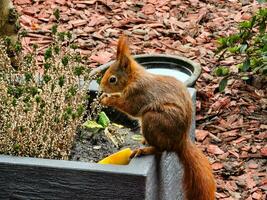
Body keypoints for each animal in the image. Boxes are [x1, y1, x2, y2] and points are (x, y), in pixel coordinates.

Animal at [99, 36, 217, 200]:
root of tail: (179, 142)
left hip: (153, 119)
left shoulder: (139, 94)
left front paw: (107, 99)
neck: (134, 78)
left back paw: (144, 150)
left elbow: (130, 107)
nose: (101, 87)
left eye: (112, 79)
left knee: (160, 150)